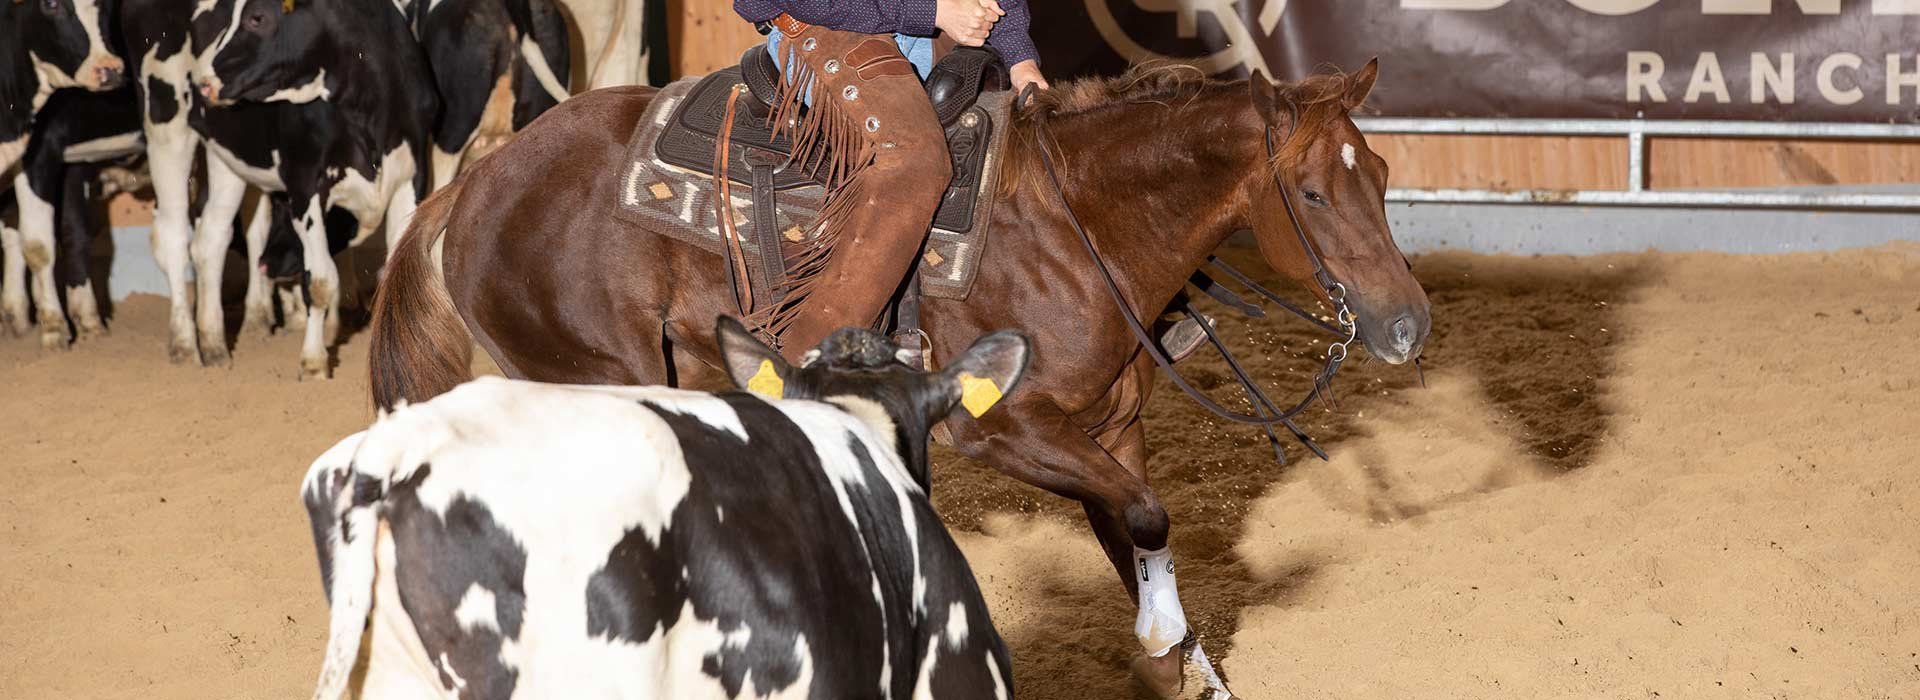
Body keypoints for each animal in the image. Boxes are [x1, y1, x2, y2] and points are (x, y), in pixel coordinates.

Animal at [366, 58, 1431, 697]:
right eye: (1310, 192)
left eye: (1381, 173)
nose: (1408, 324)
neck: (1080, 224)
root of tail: (474, 185)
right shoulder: (1005, 427)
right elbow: (1148, 513)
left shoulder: (1108, 428)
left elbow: (1135, 528)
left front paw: (1184, 663)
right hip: (596, 379)